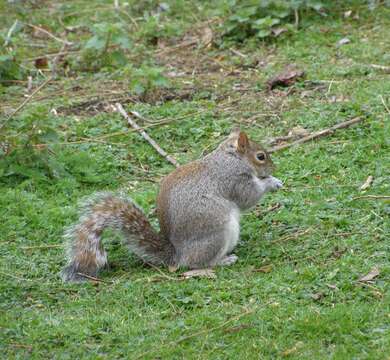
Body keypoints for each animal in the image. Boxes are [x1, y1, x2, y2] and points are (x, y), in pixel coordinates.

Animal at [61, 128, 282, 282]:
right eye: (261, 156)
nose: (273, 167)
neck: (231, 158)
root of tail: (176, 255)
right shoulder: (234, 180)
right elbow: (248, 197)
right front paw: (272, 182)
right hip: (217, 233)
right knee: (196, 263)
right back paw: (223, 260)